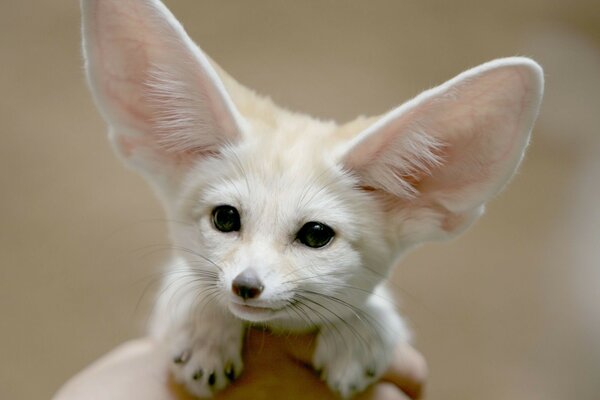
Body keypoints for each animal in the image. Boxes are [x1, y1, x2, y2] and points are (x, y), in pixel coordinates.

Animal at [79, 0, 544, 396]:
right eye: (225, 218)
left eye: (317, 234)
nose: (246, 285)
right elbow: (190, 283)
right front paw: (205, 329)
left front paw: (363, 331)